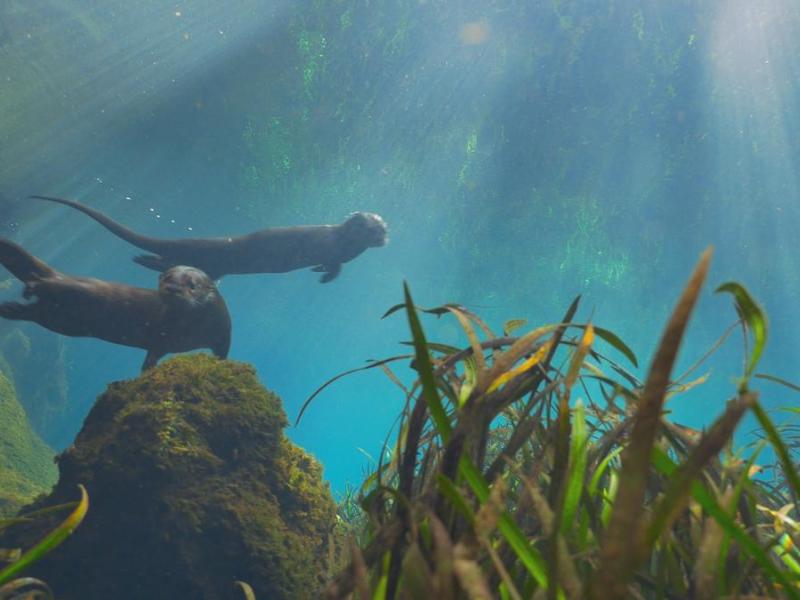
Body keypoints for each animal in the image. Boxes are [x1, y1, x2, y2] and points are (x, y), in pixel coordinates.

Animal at [0, 238, 231, 370]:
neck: (192, 329)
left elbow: (222, 352)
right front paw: (147, 369)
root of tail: (60, 275)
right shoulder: (164, 333)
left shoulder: (223, 332)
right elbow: (154, 350)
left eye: (192, 285)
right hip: (80, 290)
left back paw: (9, 308)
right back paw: (32, 286)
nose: (172, 287)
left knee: (35, 311)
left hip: (61, 322)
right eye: (166, 277)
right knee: (48, 284)